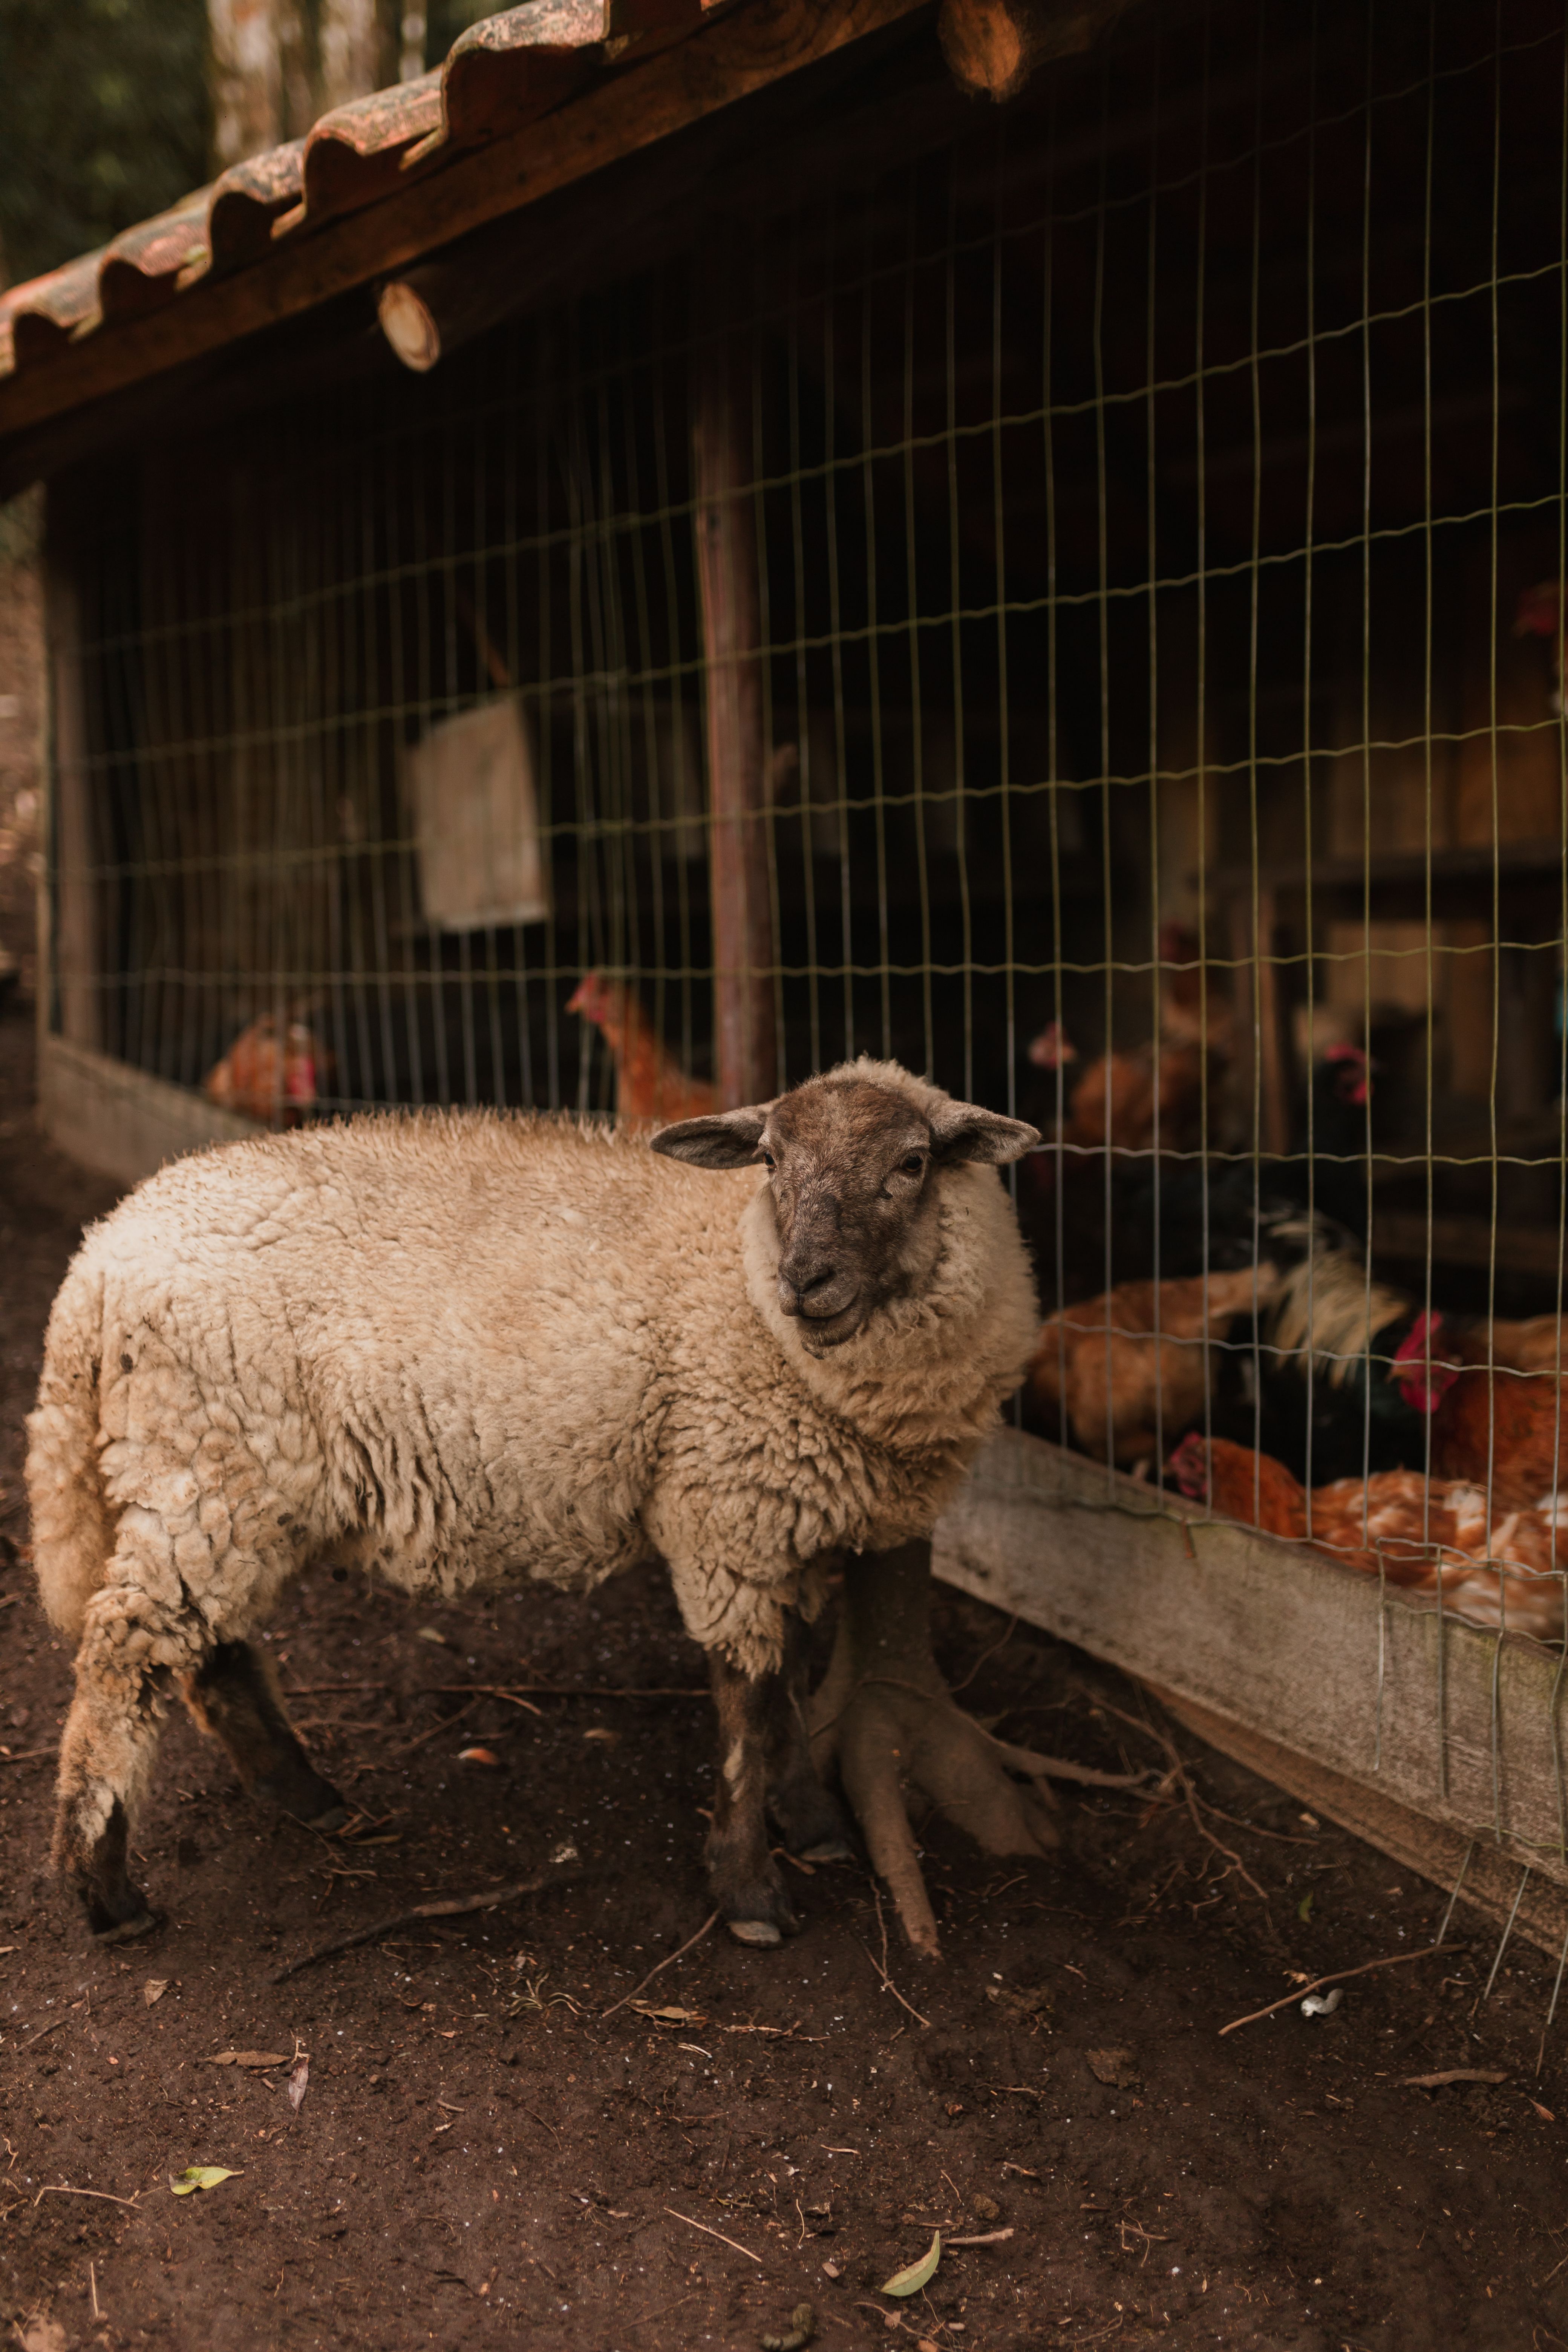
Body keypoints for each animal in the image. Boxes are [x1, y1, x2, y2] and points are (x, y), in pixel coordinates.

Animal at [26, 1056, 1041, 1949]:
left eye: (912, 1164)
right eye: (770, 1161)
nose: (806, 1281)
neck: (743, 1280)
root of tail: (96, 1260)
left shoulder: (783, 1519)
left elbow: (786, 1674)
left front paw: (816, 1823)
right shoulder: (723, 1507)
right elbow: (747, 1702)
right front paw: (750, 1889)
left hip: (230, 1478)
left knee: (208, 1649)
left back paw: (307, 1798)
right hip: (206, 1457)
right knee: (126, 1645)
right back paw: (104, 1890)